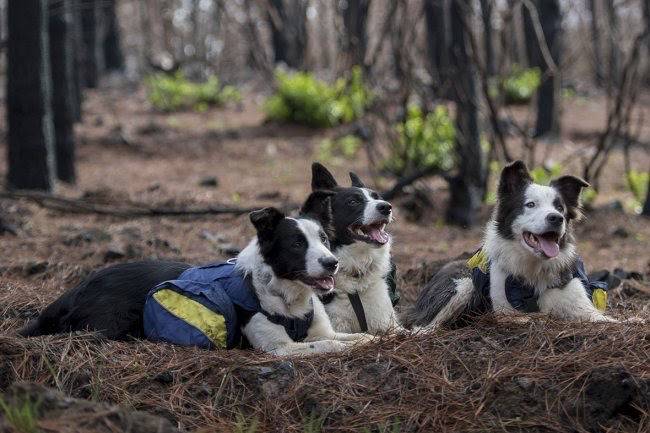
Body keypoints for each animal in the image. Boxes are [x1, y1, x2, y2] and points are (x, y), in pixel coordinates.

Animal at [404, 160, 616, 330]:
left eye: (559, 208)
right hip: (463, 284)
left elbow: (605, 320)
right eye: (530, 204)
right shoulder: (505, 311)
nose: (556, 218)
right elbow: (526, 318)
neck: (534, 267)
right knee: (421, 327)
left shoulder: (579, 303)